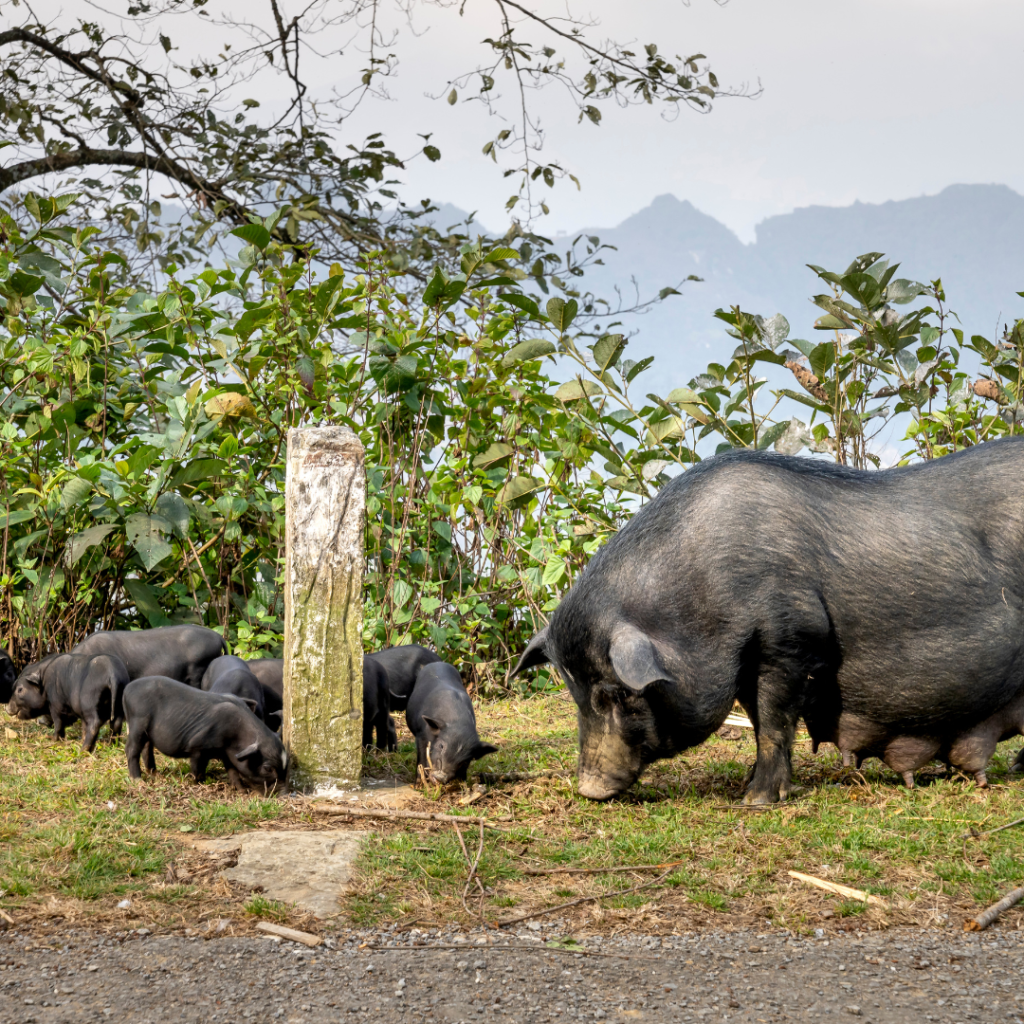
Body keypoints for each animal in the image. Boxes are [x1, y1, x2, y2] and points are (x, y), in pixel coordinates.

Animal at [126, 675, 292, 786]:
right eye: (267, 768)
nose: (282, 790)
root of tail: (127, 689)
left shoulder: (227, 752)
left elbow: (232, 769)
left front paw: (240, 789)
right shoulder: (197, 746)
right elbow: (198, 767)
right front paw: (199, 782)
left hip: (147, 732)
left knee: (147, 749)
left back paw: (153, 774)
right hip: (137, 723)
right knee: (131, 750)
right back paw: (138, 781)